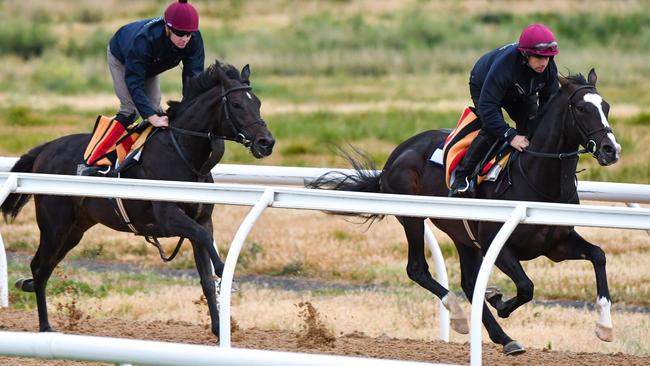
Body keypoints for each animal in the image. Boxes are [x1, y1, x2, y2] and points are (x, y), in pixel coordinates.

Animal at [0, 59, 274, 340]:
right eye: (237, 104)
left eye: (258, 102)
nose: (267, 142)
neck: (183, 154)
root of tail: (46, 148)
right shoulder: (168, 217)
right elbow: (206, 242)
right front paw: (224, 270)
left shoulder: (201, 219)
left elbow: (206, 275)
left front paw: (220, 329)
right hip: (55, 225)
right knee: (39, 266)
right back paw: (45, 326)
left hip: (75, 229)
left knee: (45, 266)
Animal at [306, 69, 620, 354]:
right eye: (582, 108)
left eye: (605, 106)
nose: (611, 149)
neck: (535, 177)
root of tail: (396, 155)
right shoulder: (498, 245)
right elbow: (526, 286)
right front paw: (499, 302)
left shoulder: (556, 245)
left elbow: (598, 256)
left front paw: (605, 327)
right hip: (412, 218)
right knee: (417, 269)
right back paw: (458, 317)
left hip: (462, 234)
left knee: (468, 283)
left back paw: (505, 338)